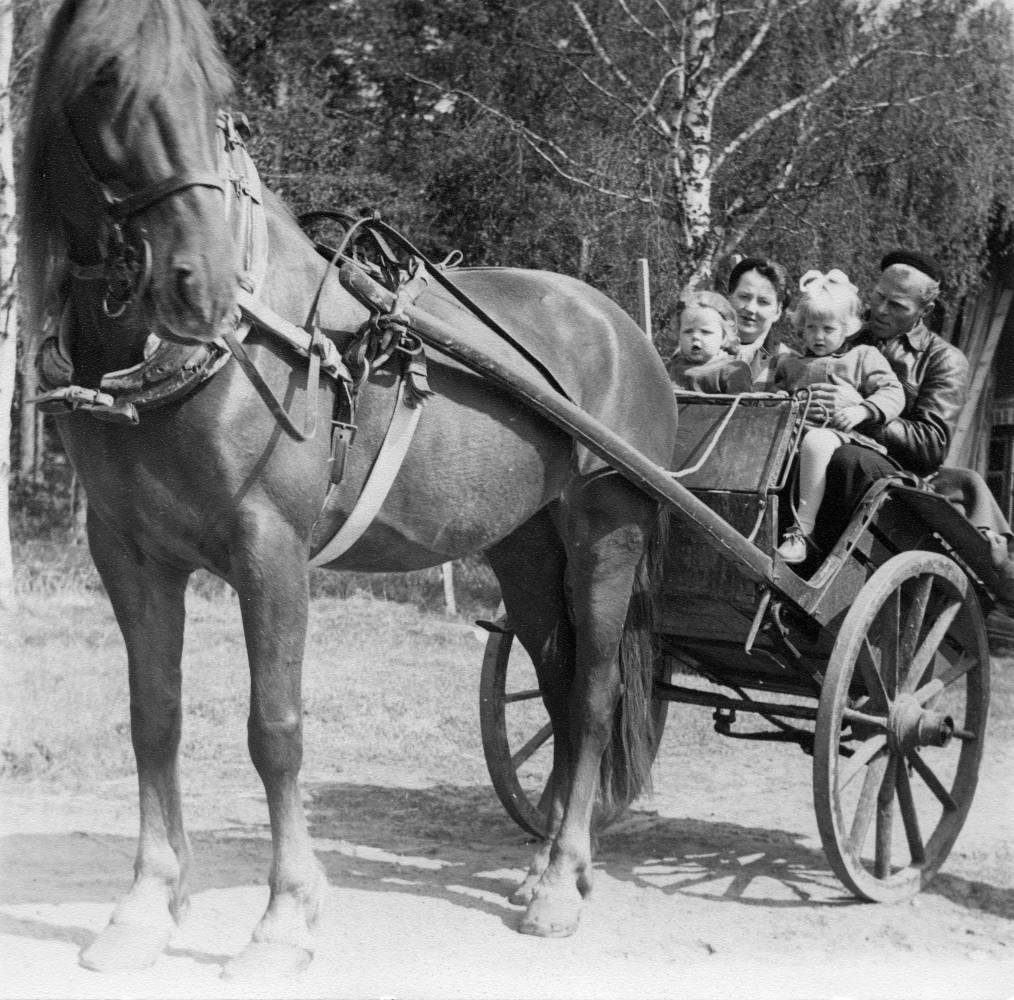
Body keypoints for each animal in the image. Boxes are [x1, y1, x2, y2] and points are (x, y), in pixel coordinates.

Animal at [19, 0, 679, 978]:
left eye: (215, 90)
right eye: (104, 79)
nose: (199, 282)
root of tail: (617, 323)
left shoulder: (271, 553)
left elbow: (275, 730)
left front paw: (284, 919)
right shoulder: (128, 553)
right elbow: (153, 718)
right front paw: (143, 908)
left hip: (610, 531)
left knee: (594, 698)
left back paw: (560, 885)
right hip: (525, 546)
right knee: (559, 690)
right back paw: (548, 866)